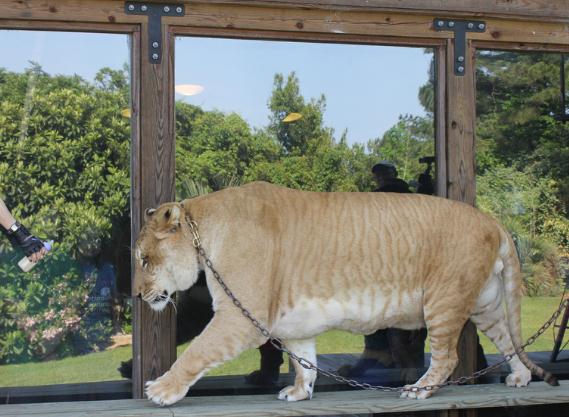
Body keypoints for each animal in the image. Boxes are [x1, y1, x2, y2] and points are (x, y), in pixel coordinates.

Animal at [135, 180, 556, 404]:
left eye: (142, 259)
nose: (137, 296)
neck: (203, 233)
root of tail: (492, 219)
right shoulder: (293, 323)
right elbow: (304, 361)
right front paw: (299, 392)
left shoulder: (241, 317)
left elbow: (197, 352)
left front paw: (161, 389)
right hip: (486, 304)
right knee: (510, 340)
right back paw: (520, 376)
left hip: (444, 299)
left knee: (447, 356)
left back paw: (418, 389)